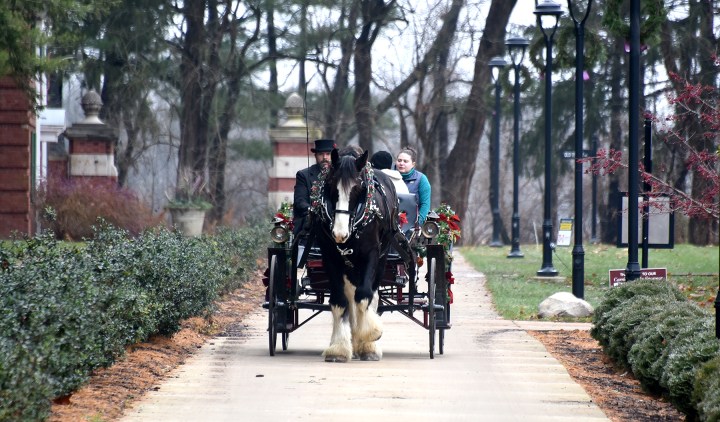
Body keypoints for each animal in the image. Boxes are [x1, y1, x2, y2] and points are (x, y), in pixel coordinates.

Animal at [316, 149, 402, 362]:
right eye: (331, 185)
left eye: (358, 188)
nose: (339, 233)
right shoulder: (330, 256)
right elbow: (339, 301)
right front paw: (338, 348)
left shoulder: (372, 255)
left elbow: (364, 295)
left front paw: (370, 336)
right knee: (350, 295)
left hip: (381, 259)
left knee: (372, 294)